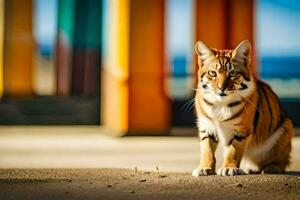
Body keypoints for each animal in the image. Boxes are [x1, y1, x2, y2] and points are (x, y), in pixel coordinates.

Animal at [192, 41, 292, 177]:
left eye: (232, 73)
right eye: (213, 73)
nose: (222, 88)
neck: (220, 104)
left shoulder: (242, 130)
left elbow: (234, 150)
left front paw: (229, 168)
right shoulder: (207, 127)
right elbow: (207, 150)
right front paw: (204, 168)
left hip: (286, 127)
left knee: (281, 161)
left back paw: (270, 168)